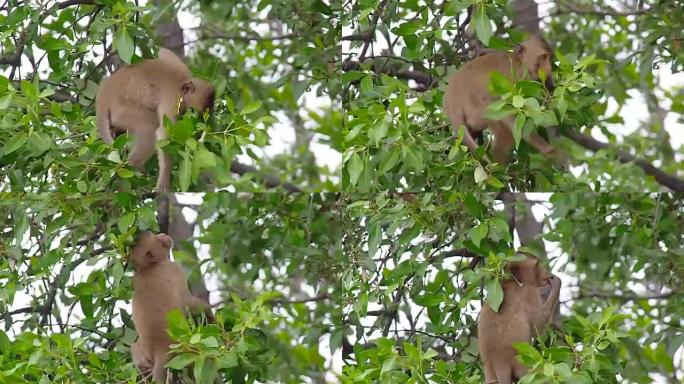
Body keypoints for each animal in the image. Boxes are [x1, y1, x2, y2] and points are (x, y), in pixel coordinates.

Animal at [96, 48, 214, 192]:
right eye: (194, 112)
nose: (200, 121)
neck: (180, 85)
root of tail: (104, 97)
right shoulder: (172, 100)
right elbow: (163, 134)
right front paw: (163, 184)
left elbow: (164, 51)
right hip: (121, 110)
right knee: (150, 127)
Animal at [129, 231, 212, 380]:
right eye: (152, 235)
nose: (163, 234)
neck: (149, 267)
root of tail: (158, 349)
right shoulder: (175, 269)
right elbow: (189, 302)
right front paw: (210, 313)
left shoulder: (136, 277)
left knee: (134, 348)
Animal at [444, 34, 556, 164]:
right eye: (543, 58)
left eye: (549, 58)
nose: (548, 68)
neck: (518, 60)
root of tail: (452, 102)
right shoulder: (516, 77)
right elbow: (511, 112)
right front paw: (545, 147)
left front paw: (550, 86)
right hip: (477, 110)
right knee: (500, 119)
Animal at [476, 254, 560, 382]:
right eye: (537, 266)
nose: (547, 272)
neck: (509, 283)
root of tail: (497, 362)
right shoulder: (529, 293)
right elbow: (537, 328)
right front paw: (557, 284)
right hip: (522, 363)